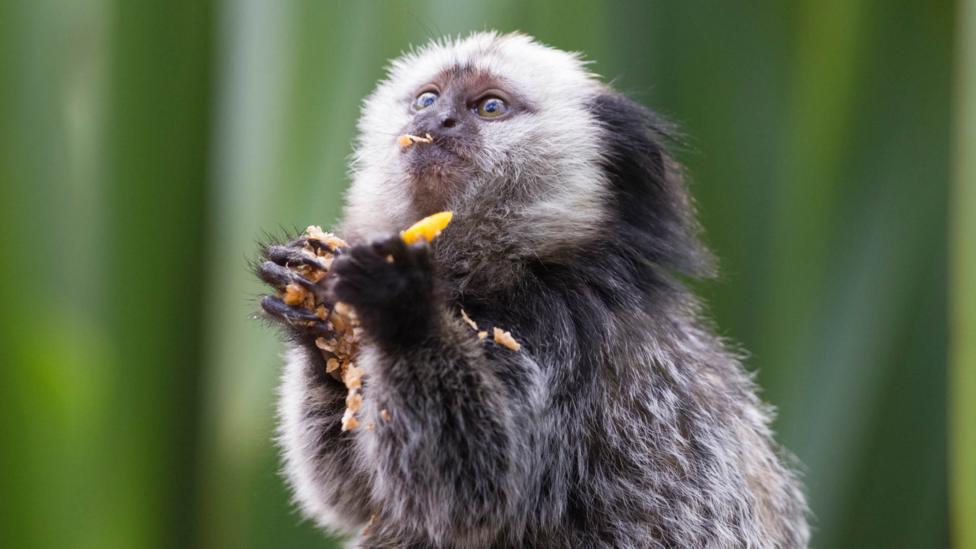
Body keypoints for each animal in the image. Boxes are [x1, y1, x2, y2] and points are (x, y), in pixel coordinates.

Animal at [256, 32, 810, 548]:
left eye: (489, 107)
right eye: (427, 99)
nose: (437, 123)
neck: (515, 266)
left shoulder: (558, 328)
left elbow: (477, 494)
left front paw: (399, 308)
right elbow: (358, 495)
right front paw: (313, 311)